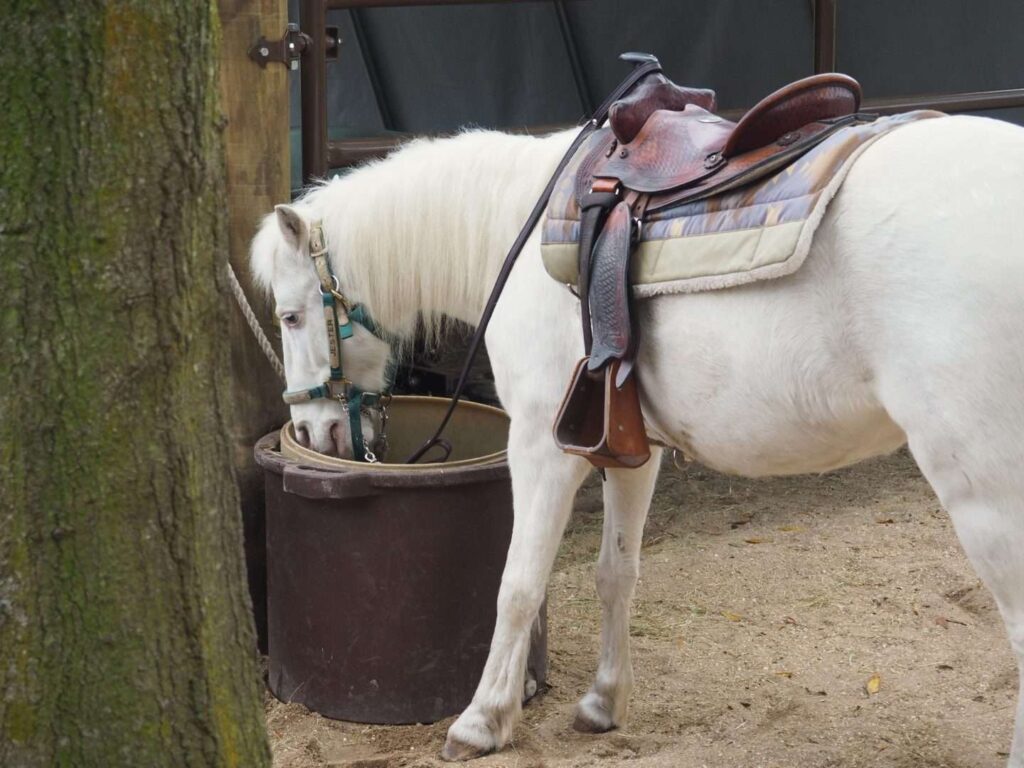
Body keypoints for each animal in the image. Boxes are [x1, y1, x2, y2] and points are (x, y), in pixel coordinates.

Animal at [250, 114, 1024, 765]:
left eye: (291, 316)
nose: (313, 429)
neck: (515, 231)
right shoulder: (632, 451)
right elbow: (614, 573)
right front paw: (602, 702)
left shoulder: (543, 449)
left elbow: (519, 584)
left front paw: (482, 721)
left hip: (985, 493)